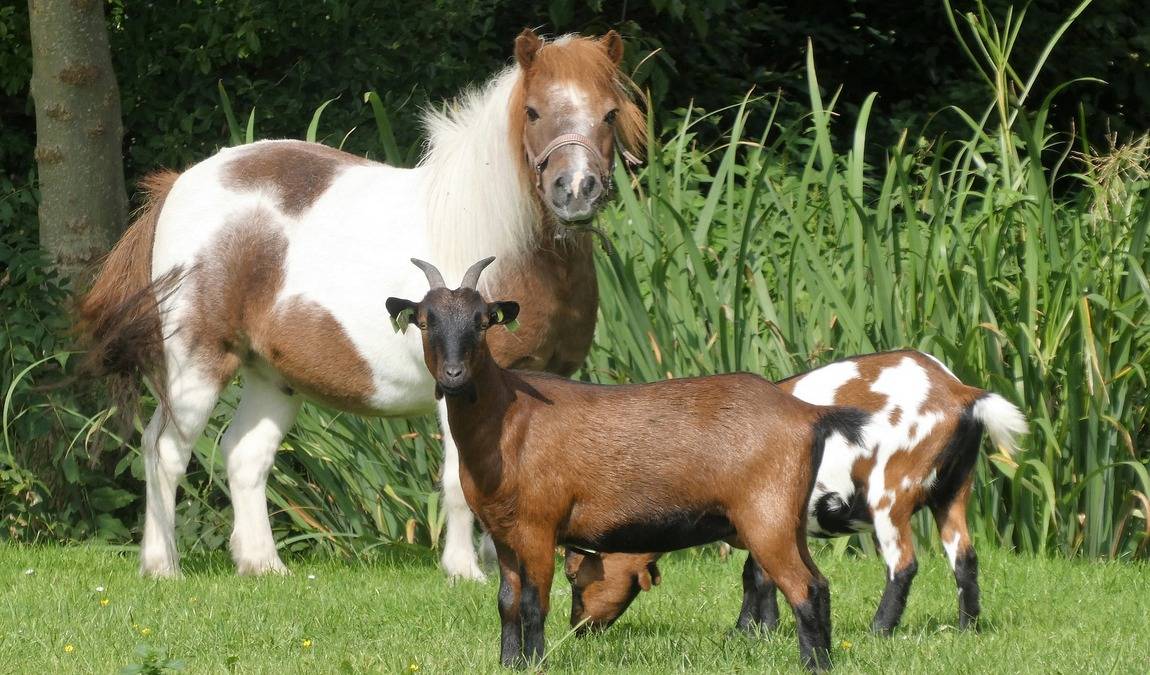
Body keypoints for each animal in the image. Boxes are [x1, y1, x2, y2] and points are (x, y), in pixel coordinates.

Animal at [77, 29, 645, 579]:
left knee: (244, 456)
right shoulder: (457, 389)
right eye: (533, 111)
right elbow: (459, 483)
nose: (576, 190)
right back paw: (162, 566)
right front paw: (465, 572)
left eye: (609, 113)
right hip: (195, 366)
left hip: (274, 379)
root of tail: (180, 183)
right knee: (164, 451)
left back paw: (263, 566)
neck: (501, 245)